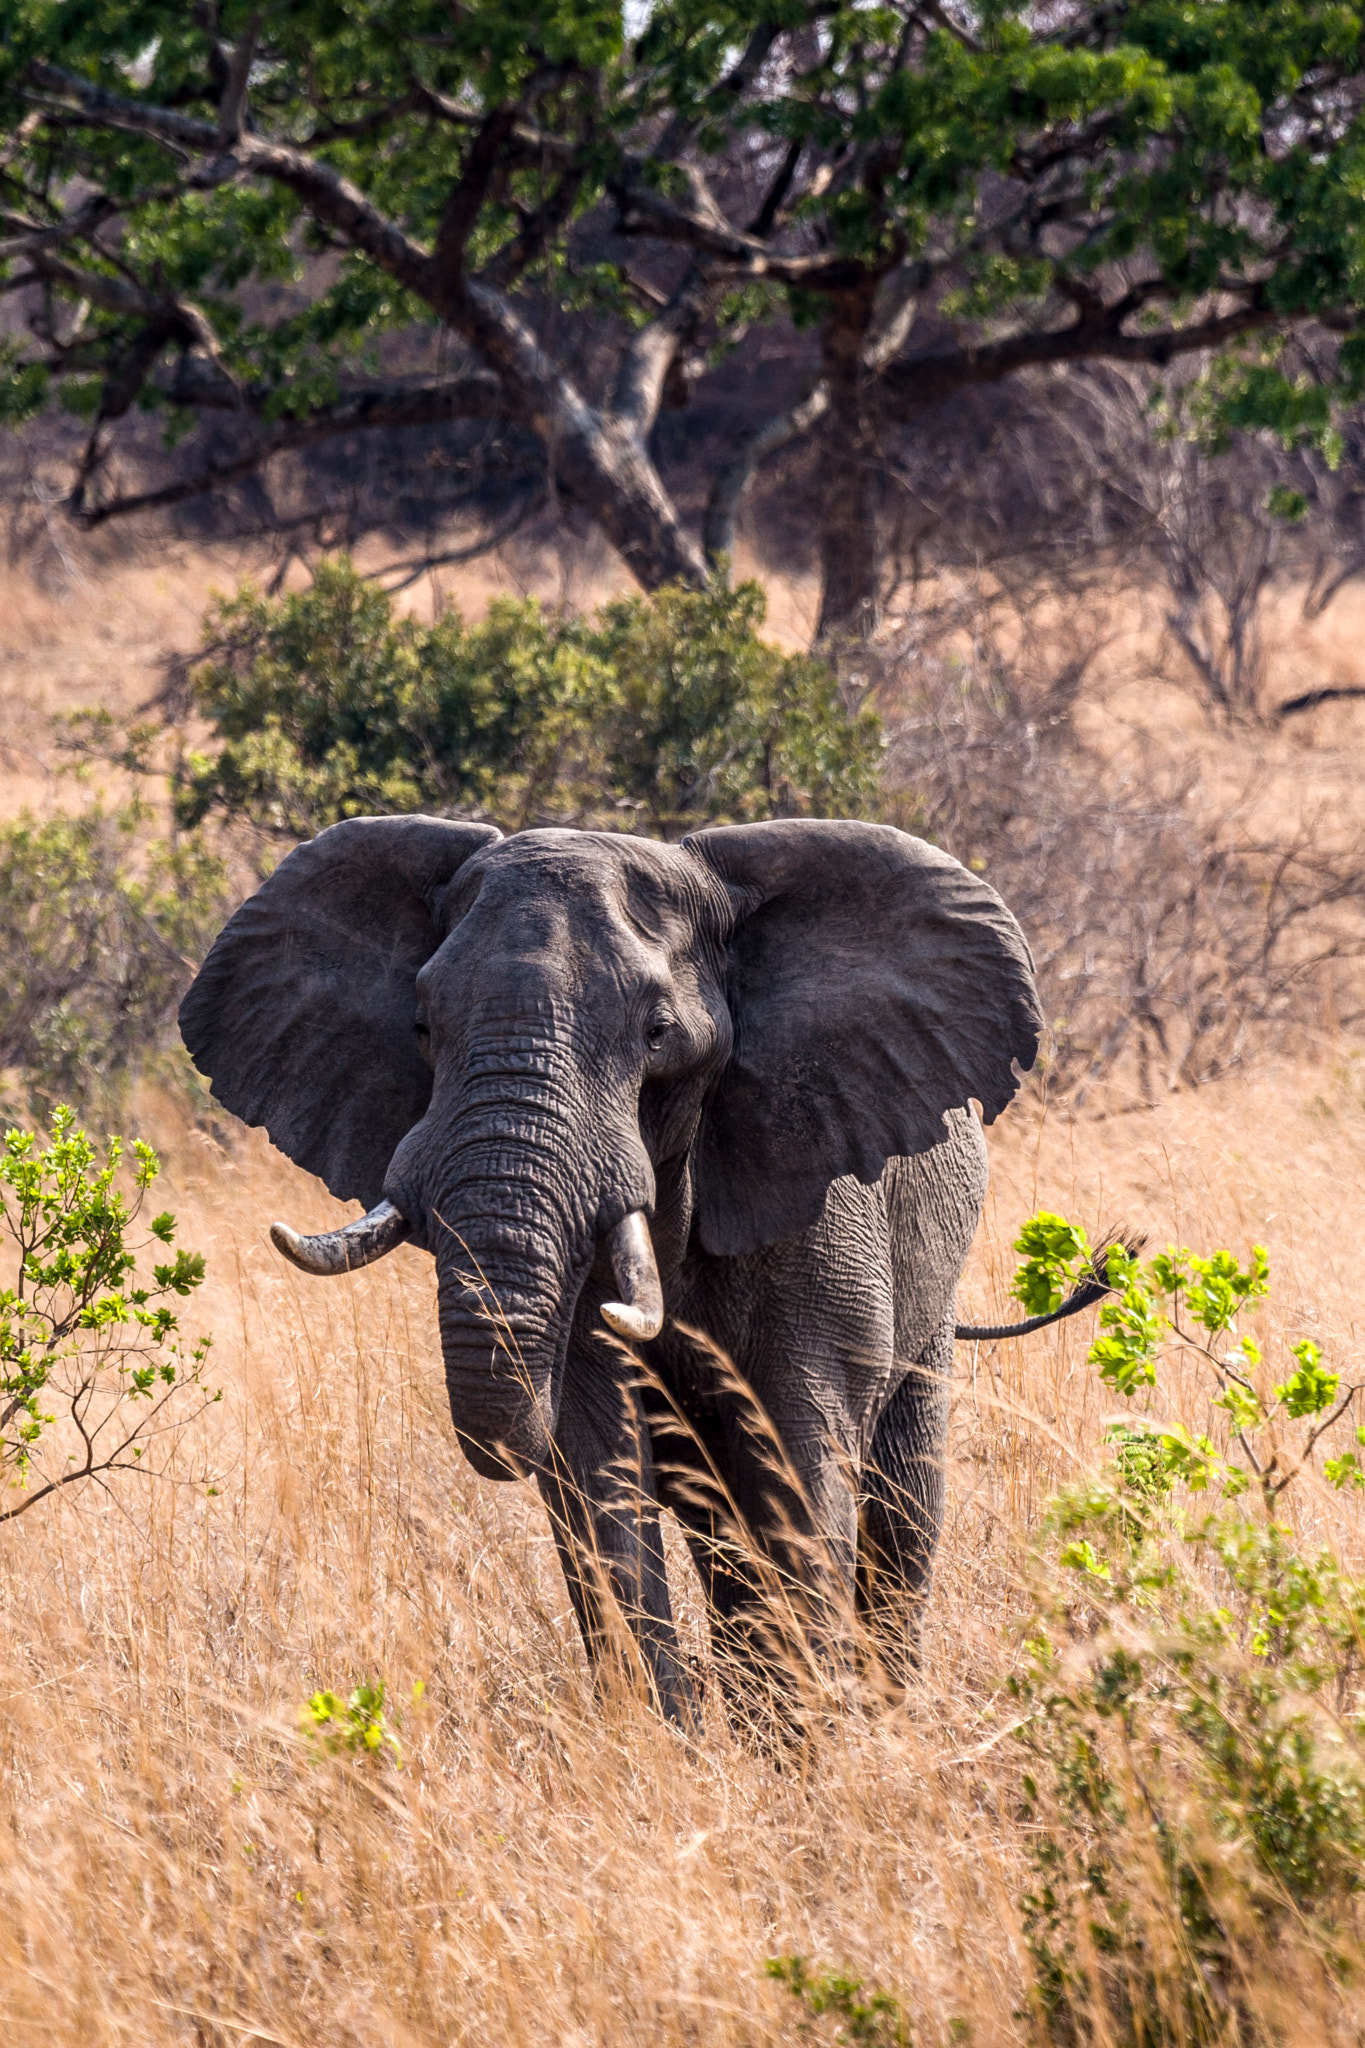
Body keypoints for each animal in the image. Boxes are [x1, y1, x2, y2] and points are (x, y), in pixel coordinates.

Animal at [181, 806, 1080, 1720]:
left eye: (657, 1034)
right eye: (423, 1028)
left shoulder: (820, 1195)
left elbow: (795, 1460)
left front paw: (807, 1741)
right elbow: (596, 1468)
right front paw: (665, 1739)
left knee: (900, 1502)